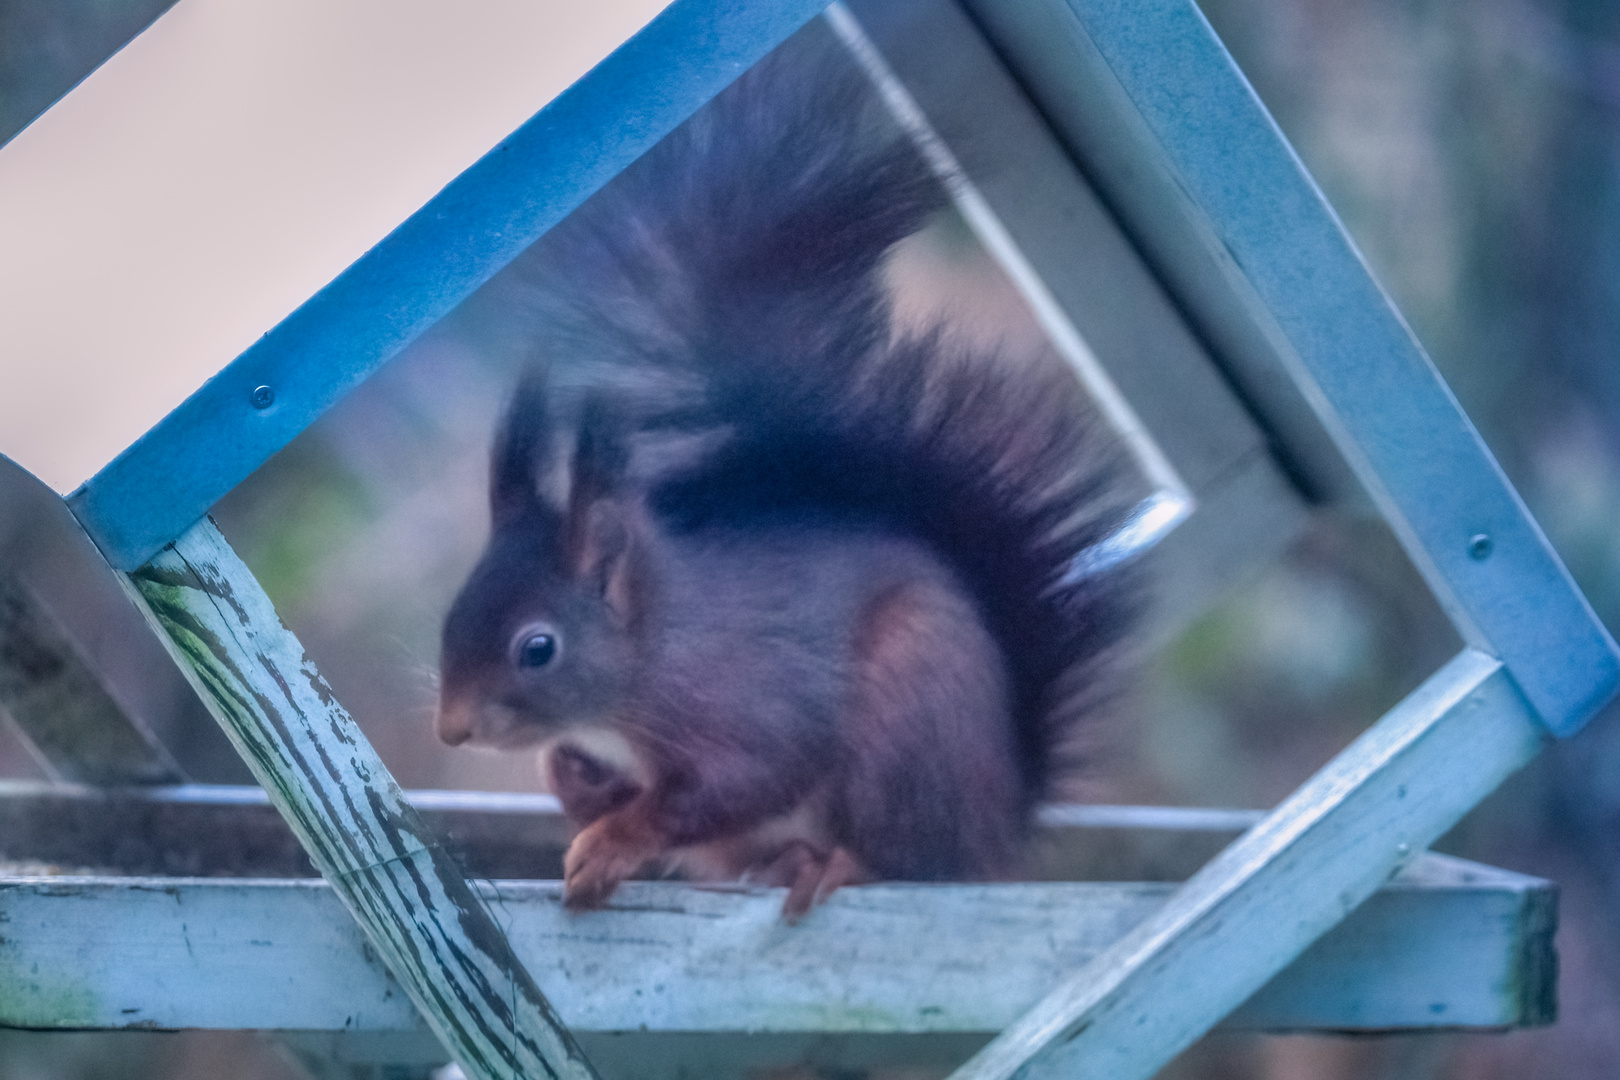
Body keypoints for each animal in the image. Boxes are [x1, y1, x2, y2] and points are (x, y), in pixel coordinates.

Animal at [437, 16, 1134, 919]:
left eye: (538, 648)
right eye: (452, 615)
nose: (451, 728)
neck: (653, 656)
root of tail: (997, 825)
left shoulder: (751, 708)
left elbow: (734, 783)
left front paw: (613, 838)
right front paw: (570, 776)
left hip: (907, 725)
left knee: (897, 855)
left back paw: (835, 866)